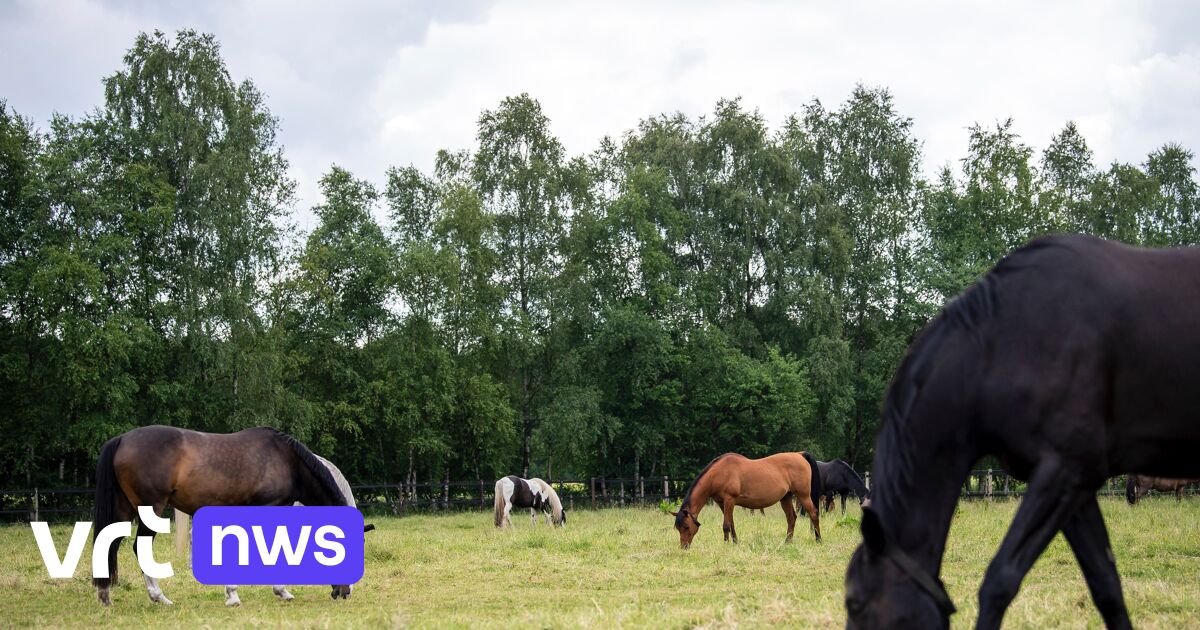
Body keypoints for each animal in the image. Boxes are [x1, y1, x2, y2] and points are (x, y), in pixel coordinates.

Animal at [92, 425, 366, 607]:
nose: (346, 592)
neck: (288, 463)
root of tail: (123, 439)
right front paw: (240, 594)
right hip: (151, 510)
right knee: (140, 548)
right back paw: (158, 597)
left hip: (125, 509)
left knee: (110, 544)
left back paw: (105, 596)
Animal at [668, 452, 822, 548]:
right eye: (678, 528)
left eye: (686, 526)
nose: (684, 547)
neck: (719, 473)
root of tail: (799, 455)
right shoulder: (722, 503)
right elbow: (731, 523)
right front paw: (735, 542)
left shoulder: (729, 500)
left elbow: (726, 525)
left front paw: (726, 545)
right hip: (786, 497)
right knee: (791, 518)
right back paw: (787, 542)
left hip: (803, 495)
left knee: (813, 514)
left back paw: (818, 540)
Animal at [844, 235, 1200, 630]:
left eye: (855, 604)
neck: (1000, 347)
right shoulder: (1074, 485)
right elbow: (1106, 585)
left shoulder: (1066, 470)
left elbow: (1000, 580)